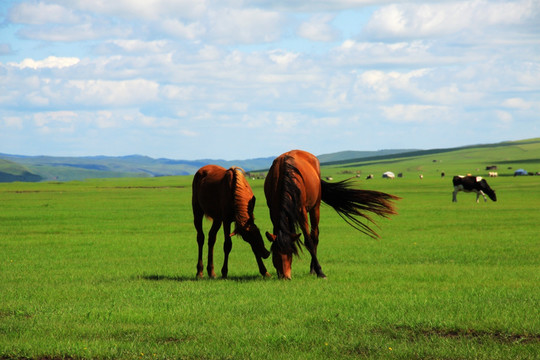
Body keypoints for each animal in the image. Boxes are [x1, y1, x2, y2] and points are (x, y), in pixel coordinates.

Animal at [264, 150, 398, 280]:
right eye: (274, 253)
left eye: (290, 253)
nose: (285, 277)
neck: (284, 178)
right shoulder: (273, 211)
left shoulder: (301, 211)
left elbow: (308, 241)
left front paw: (320, 272)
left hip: (315, 207)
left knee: (314, 236)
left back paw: (313, 269)